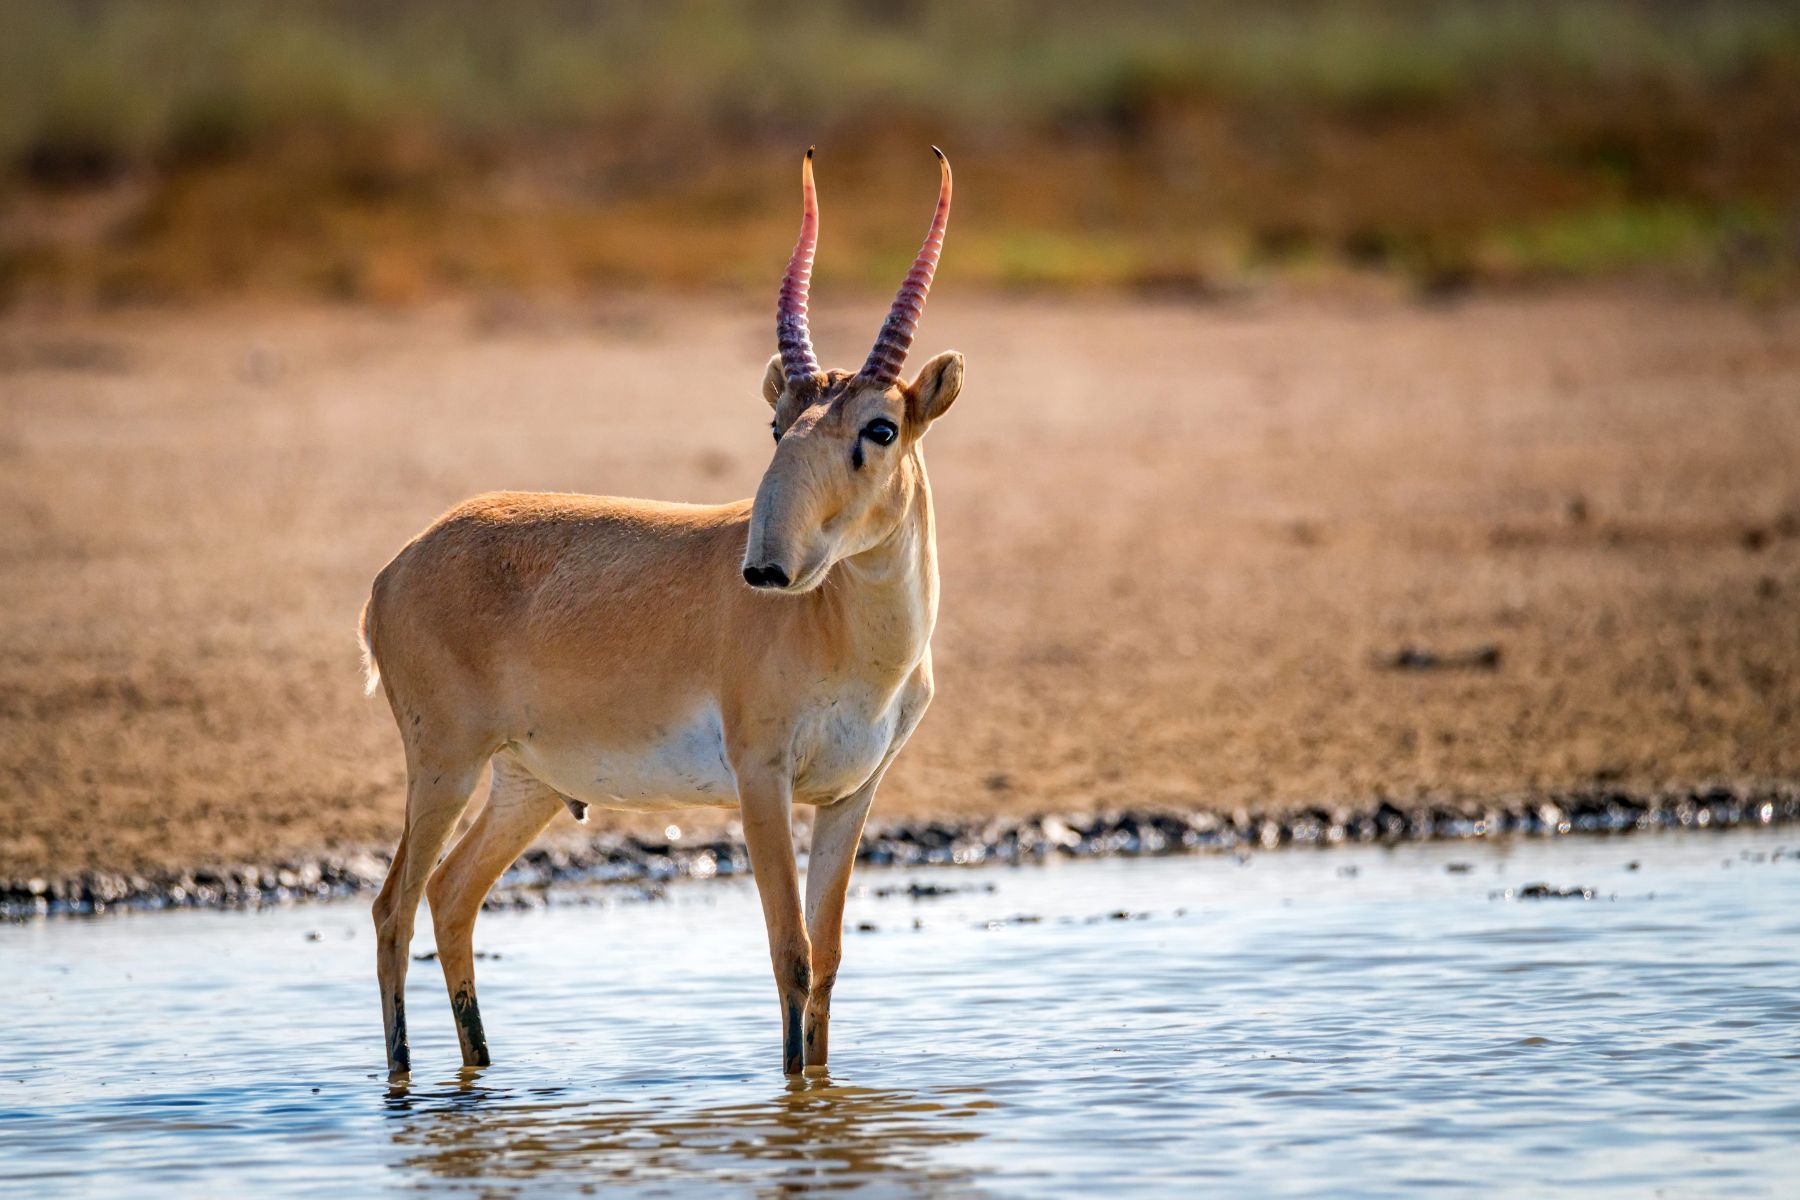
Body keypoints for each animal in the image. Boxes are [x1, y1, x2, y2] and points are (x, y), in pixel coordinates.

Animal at [356, 145, 964, 1086]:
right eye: (778, 421)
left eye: (882, 426)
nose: (766, 567)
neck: (849, 639)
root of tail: (395, 569)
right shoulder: (761, 778)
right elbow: (789, 952)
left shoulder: (852, 793)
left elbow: (827, 960)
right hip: (444, 765)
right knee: (394, 905)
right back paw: (405, 1085)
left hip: (527, 784)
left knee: (452, 898)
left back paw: (481, 1071)